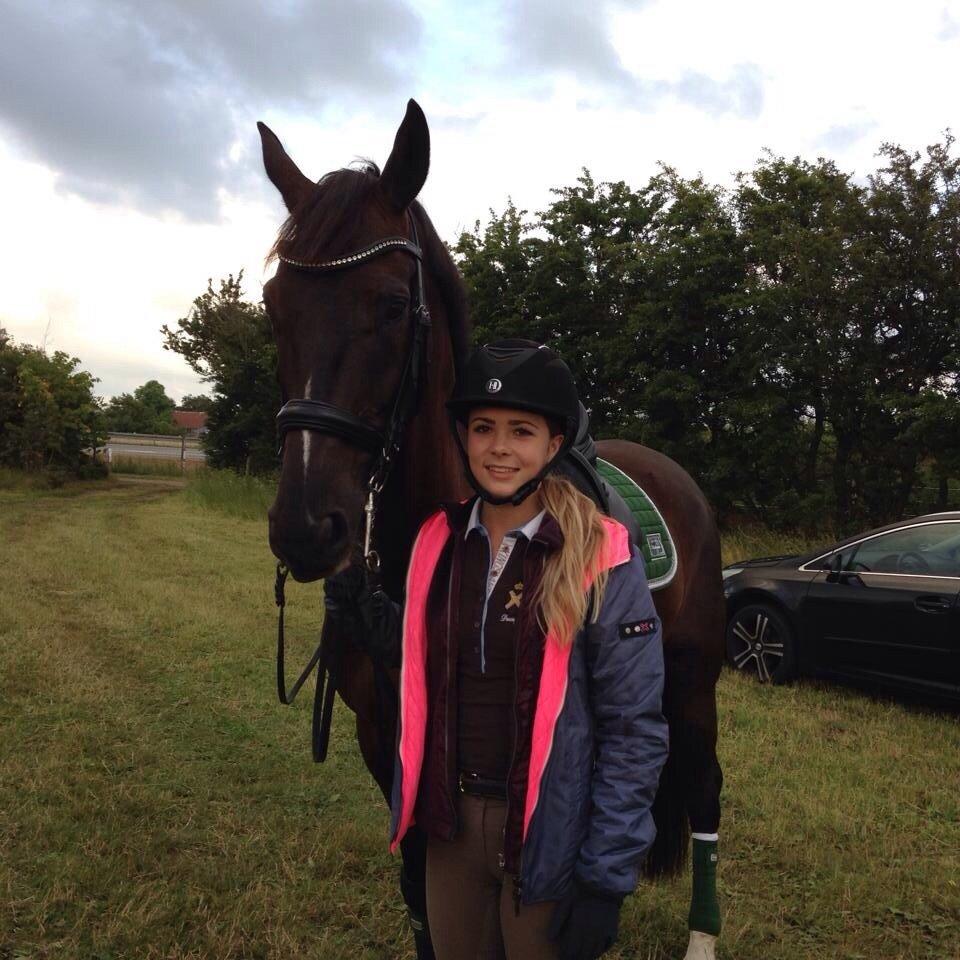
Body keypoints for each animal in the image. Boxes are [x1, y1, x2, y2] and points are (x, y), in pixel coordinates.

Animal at [259, 100, 726, 960]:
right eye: (276, 306)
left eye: (391, 305)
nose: (306, 525)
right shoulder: (392, 748)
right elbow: (423, 895)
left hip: (693, 681)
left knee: (705, 789)